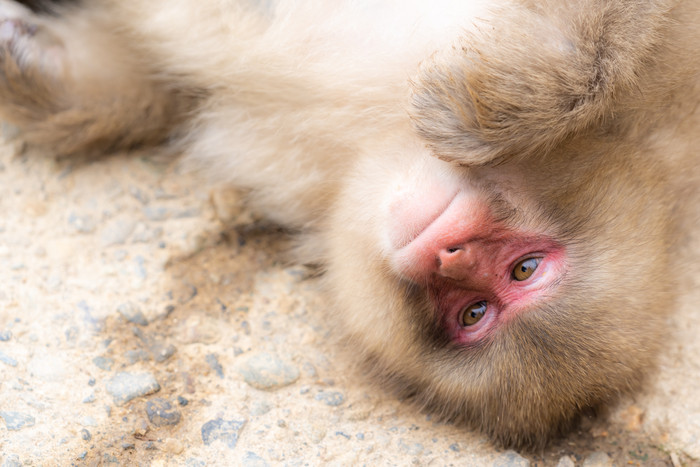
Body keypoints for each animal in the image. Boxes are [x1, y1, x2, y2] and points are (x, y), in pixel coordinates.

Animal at [0, 0, 696, 452]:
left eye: (473, 311)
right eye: (526, 269)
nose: (446, 255)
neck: (372, 140)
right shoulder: (666, 91)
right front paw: (485, 108)